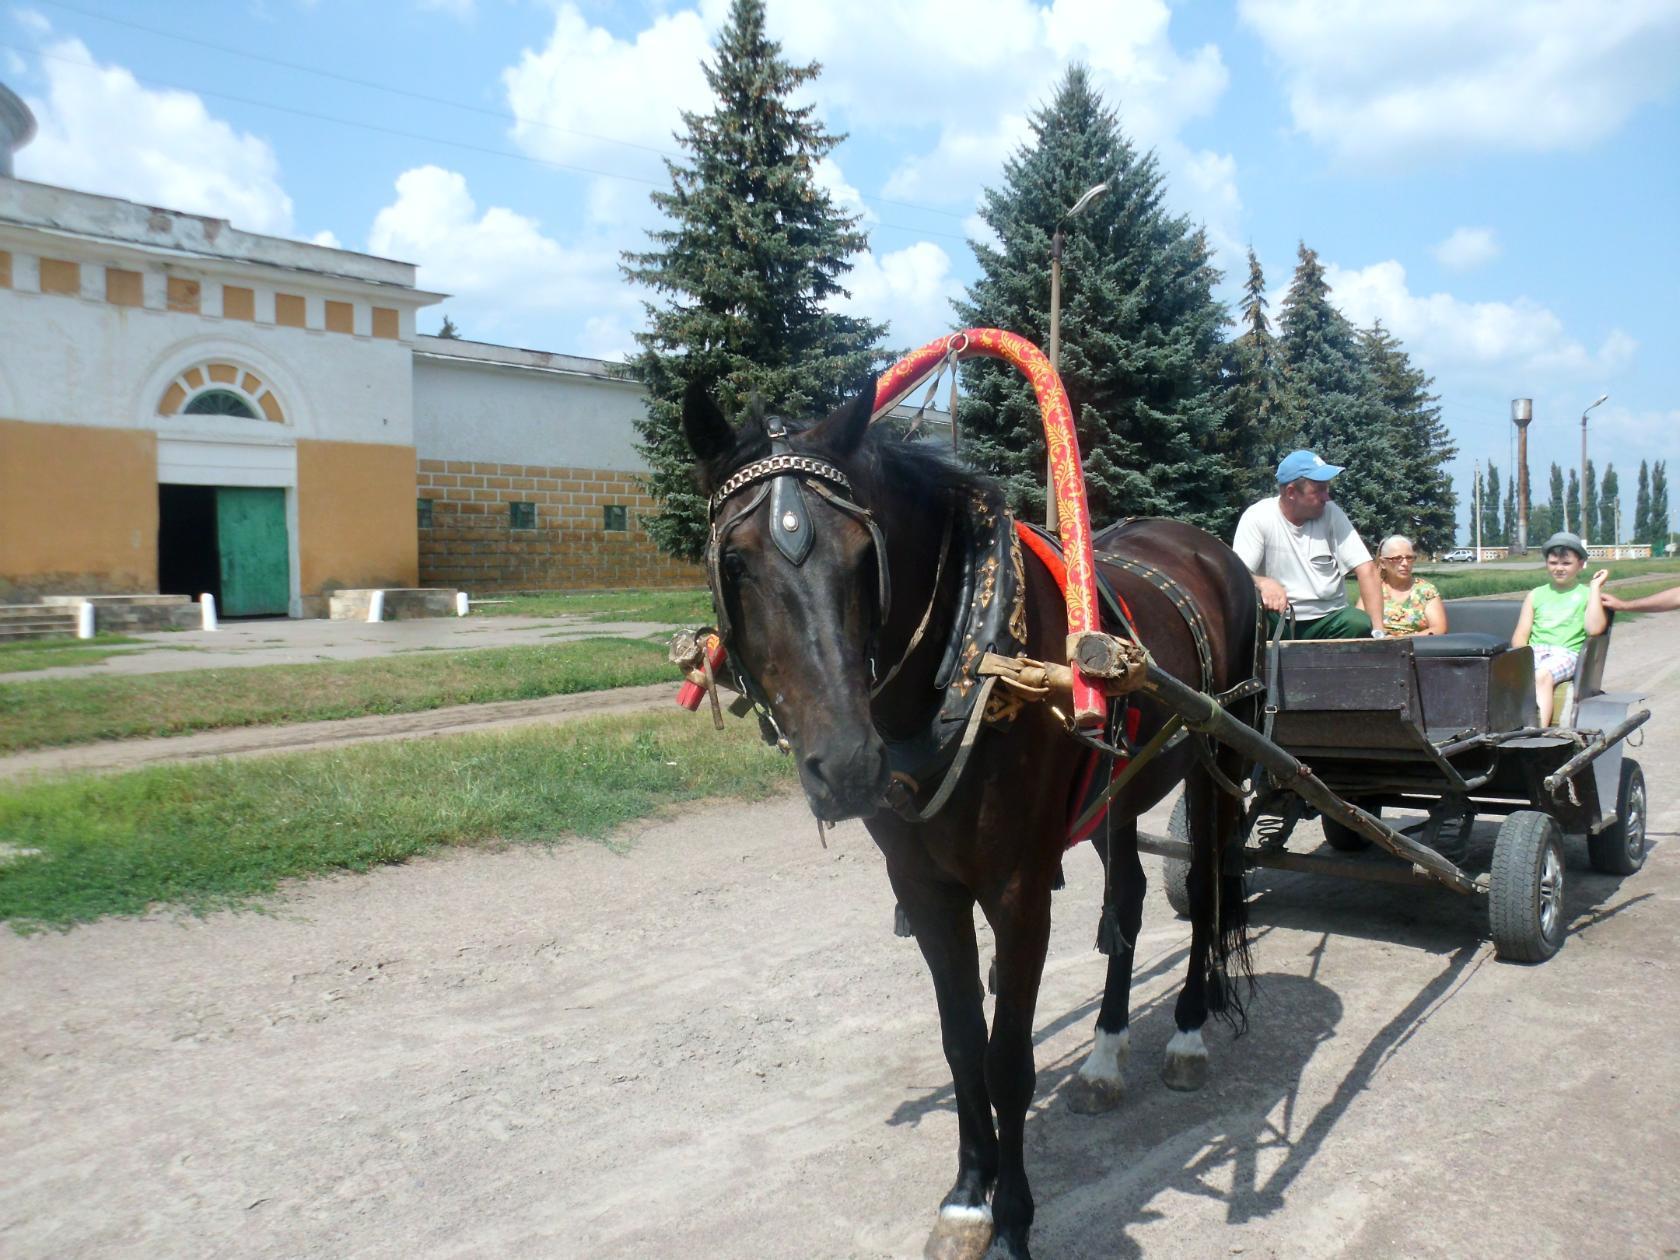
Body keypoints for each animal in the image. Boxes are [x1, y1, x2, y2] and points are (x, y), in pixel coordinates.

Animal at [685, 378, 1263, 1260]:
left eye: (865, 559)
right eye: (736, 562)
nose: (847, 767)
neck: (974, 651)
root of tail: (1205, 545)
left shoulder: (1018, 891)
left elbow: (1007, 1060)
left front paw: (1016, 1219)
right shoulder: (925, 888)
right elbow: (962, 1044)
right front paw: (968, 1196)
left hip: (1217, 757)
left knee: (1204, 892)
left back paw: (1188, 1034)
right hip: (1117, 797)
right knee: (1128, 902)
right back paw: (1105, 1056)